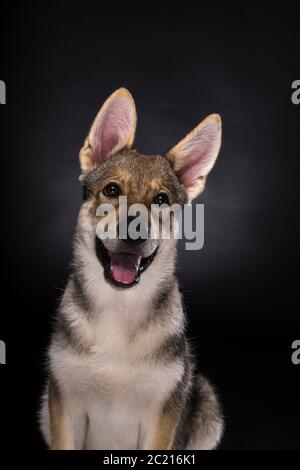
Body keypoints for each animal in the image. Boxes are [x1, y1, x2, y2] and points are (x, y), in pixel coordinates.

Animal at [39, 86, 223, 450]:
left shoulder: (161, 418)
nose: (134, 230)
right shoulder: (63, 404)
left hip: (207, 406)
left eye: (162, 200)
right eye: (112, 189)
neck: (118, 308)